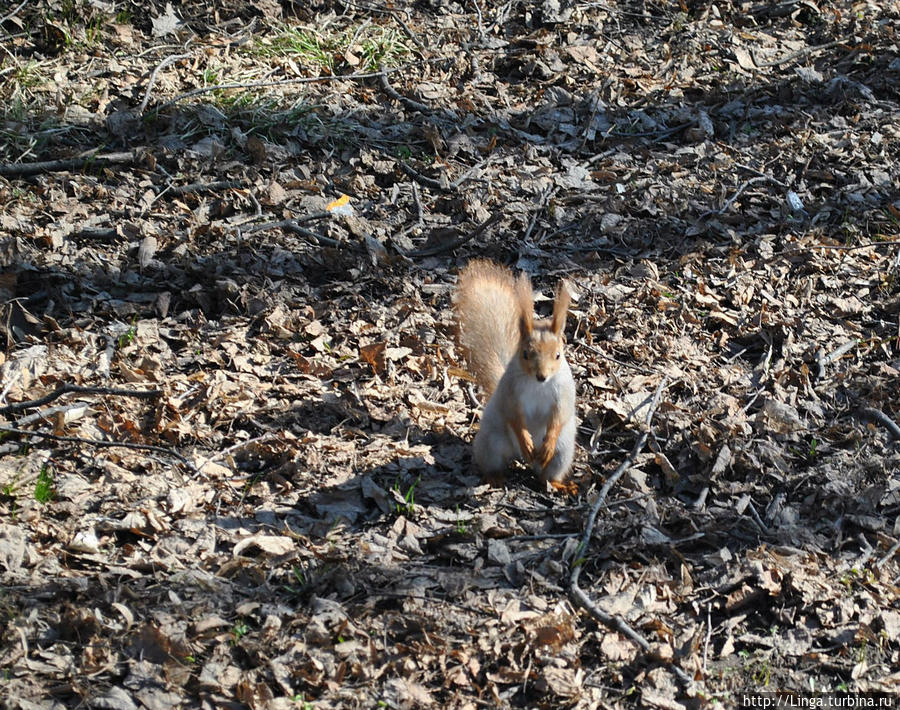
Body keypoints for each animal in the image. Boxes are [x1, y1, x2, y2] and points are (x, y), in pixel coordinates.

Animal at [454, 258, 580, 486]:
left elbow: (560, 415)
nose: (542, 376)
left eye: (558, 355)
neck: (537, 385)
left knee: (546, 473)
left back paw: (557, 483)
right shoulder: (509, 391)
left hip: (563, 452)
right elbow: (513, 415)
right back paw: (496, 476)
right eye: (525, 354)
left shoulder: (564, 391)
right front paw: (525, 440)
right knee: (492, 461)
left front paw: (547, 443)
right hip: (492, 442)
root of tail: (520, 459)